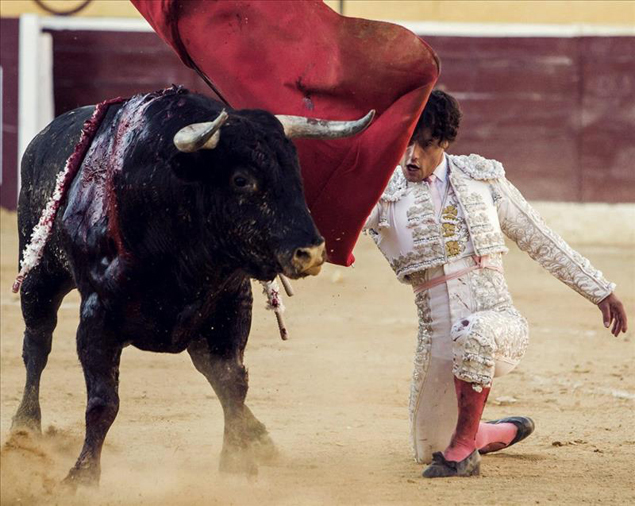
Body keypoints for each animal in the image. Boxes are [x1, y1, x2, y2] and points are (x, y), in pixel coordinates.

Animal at [11, 87, 372, 486]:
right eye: (241, 179)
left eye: (296, 173)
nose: (311, 253)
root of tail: (42, 138)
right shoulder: (97, 316)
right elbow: (103, 403)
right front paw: (82, 478)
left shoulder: (231, 304)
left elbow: (232, 383)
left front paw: (237, 462)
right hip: (39, 275)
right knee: (37, 344)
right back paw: (24, 430)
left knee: (210, 369)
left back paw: (259, 437)